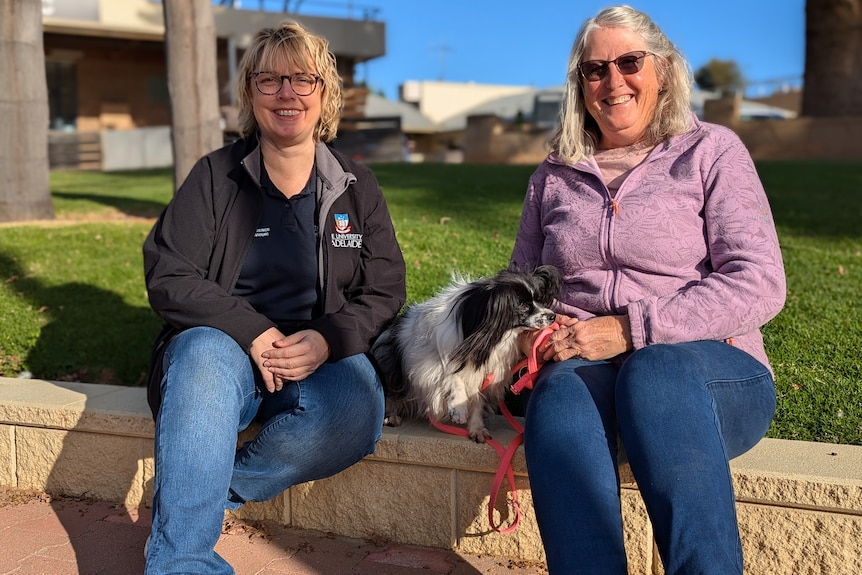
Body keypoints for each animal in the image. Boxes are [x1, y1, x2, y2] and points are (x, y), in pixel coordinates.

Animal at [370, 268, 560, 444]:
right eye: (524, 306)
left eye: (539, 300)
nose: (553, 316)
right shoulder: (431, 363)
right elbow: (452, 376)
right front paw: (458, 409)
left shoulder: (483, 375)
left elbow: (476, 402)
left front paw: (477, 430)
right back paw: (391, 416)